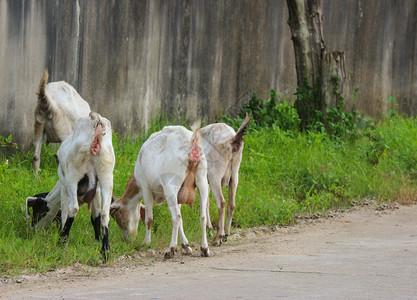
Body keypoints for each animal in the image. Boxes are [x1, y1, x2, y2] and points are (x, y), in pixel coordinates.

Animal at [110, 125, 210, 258]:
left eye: (118, 218)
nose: (127, 240)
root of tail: (191, 149)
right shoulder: (179, 195)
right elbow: (182, 219)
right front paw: (186, 246)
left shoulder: (146, 188)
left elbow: (149, 218)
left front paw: (146, 242)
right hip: (202, 181)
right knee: (202, 216)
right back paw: (204, 249)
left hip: (170, 186)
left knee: (176, 217)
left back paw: (170, 250)